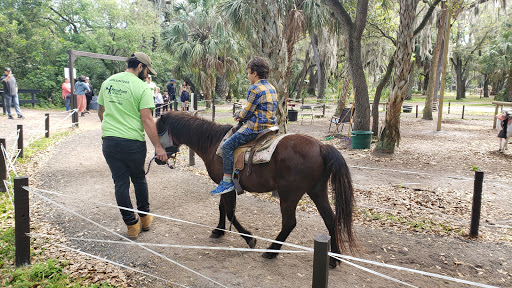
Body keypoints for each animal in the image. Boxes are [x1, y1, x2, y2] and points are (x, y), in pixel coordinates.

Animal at [156, 111, 356, 268]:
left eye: (158, 131)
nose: (158, 159)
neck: (214, 143)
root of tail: (321, 147)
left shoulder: (227, 187)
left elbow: (230, 212)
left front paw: (249, 238)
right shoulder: (224, 185)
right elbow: (222, 208)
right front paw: (219, 230)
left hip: (289, 195)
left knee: (289, 222)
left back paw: (271, 251)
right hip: (317, 191)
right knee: (330, 218)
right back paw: (334, 258)